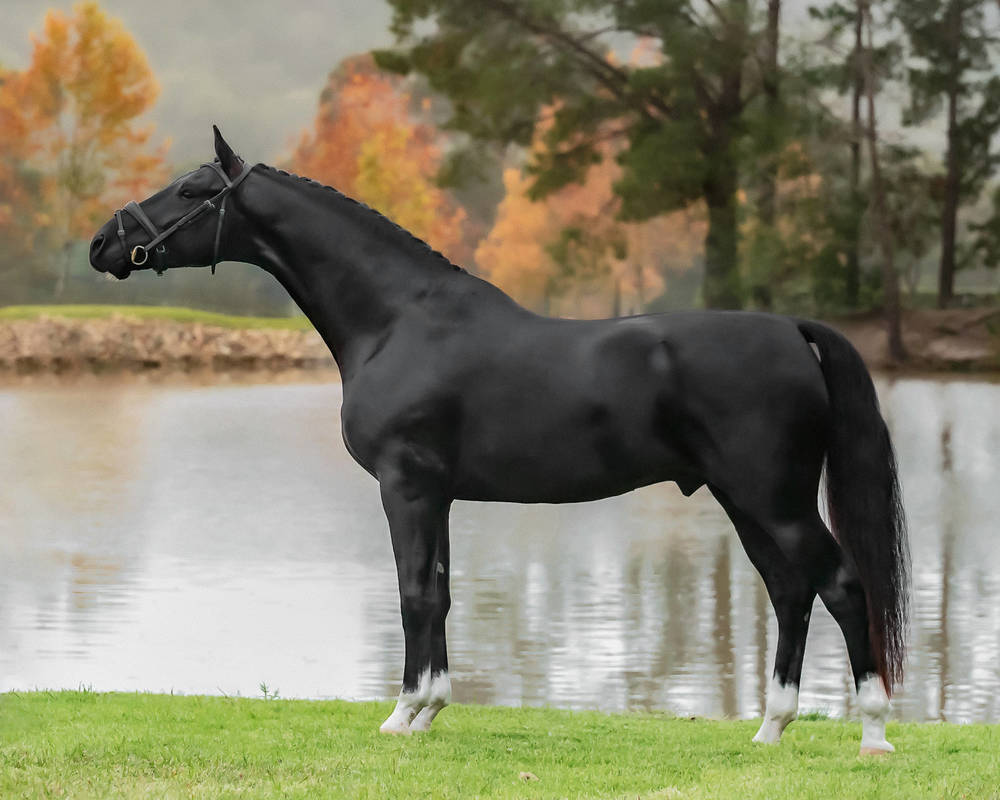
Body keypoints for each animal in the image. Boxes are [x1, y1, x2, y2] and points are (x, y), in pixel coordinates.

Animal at [89, 127, 909, 754]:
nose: (103, 242)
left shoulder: (406, 485)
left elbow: (415, 592)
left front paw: (402, 715)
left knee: (840, 585)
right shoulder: (439, 494)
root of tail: (792, 330)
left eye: (192, 191)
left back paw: (873, 733)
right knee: (791, 591)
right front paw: (429, 711)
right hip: (745, 499)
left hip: (774, 499)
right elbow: (441, 592)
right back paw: (770, 730)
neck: (399, 320)